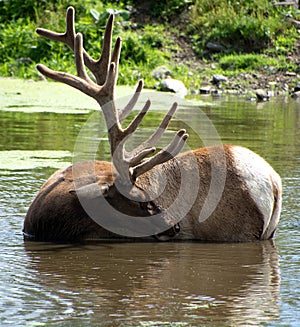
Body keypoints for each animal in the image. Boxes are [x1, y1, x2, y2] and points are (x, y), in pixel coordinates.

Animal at [22, 7, 282, 243]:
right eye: (142, 202)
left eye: (149, 197)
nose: (174, 226)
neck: (46, 222)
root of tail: (274, 182)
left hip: (237, 229)